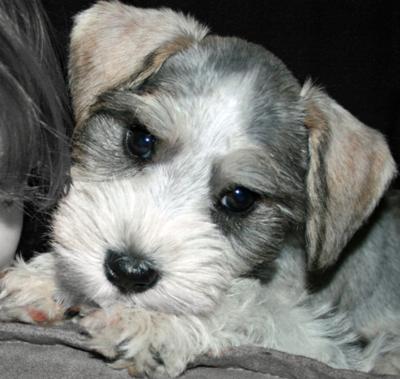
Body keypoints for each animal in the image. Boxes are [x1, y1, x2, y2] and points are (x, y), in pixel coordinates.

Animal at [0, 1, 400, 378]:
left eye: (239, 198)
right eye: (140, 139)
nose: (129, 271)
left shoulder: (328, 345)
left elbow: (251, 304)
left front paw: (150, 321)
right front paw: (48, 278)